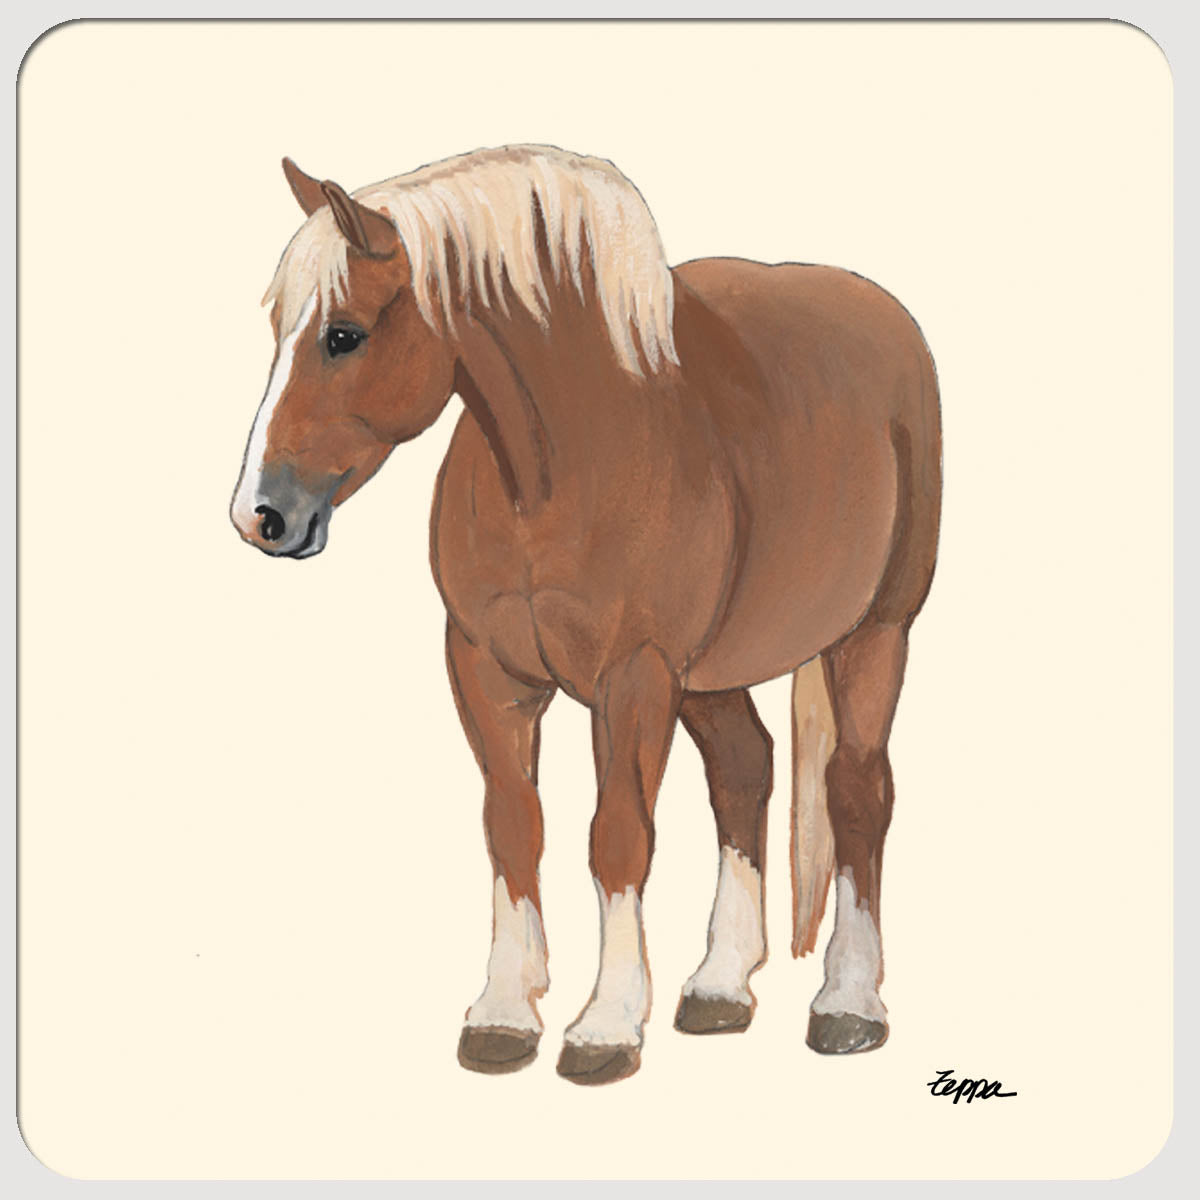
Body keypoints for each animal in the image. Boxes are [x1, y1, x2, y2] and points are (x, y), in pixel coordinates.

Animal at [230, 145, 941, 1085]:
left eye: (343, 334)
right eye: (280, 325)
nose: (259, 515)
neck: (557, 469)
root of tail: (881, 313)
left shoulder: (633, 676)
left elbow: (617, 836)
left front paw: (606, 1025)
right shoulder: (486, 668)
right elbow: (512, 825)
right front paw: (503, 1013)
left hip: (874, 636)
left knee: (859, 791)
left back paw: (849, 1002)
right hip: (710, 674)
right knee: (746, 771)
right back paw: (720, 985)